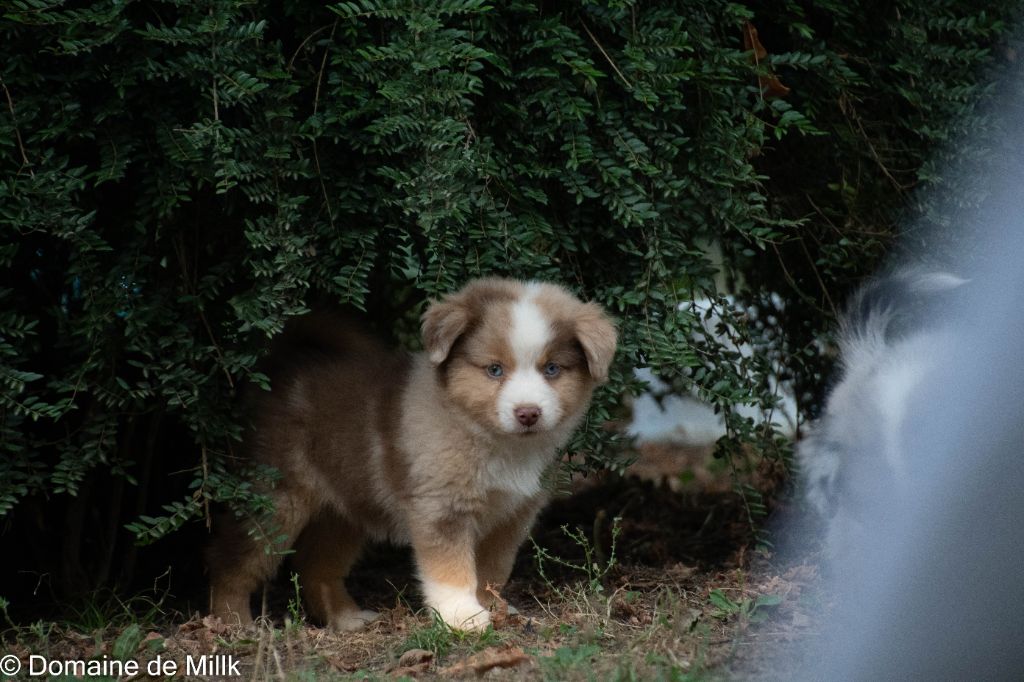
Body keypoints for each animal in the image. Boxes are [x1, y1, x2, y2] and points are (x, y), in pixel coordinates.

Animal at [207, 278, 614, 630]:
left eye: (552, 369)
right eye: (494, 370)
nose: (528, 413)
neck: (489, 439)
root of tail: (279, 370)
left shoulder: (513, 515)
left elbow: (493, 569)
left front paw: (494, 607)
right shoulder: (442, 507)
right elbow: (451, 570)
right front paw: (462, 617)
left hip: (345, 506)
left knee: (316, 566)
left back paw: (346, 618)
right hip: (275, 500)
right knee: (232, 560)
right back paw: (235, 624)